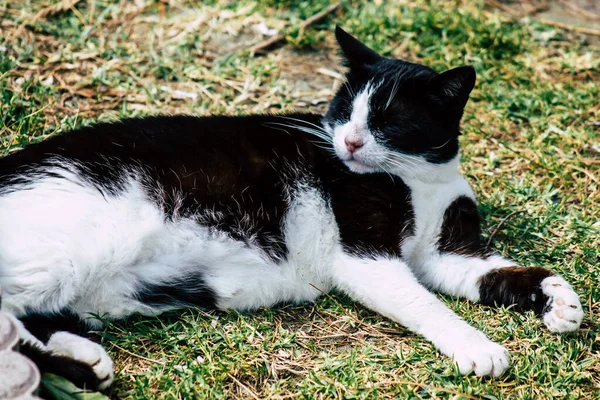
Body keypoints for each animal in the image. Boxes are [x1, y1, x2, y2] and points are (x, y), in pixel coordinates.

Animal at [0, 28, 580, 390]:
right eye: (344, 108)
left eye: (389, 121)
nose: (348, 141)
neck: (418, 178)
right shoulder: (364, 256)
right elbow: (425, 303)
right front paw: (475, 345)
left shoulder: (447, 253)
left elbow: (489, 272)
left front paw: (558, 298)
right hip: (71, 247)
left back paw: (83, 359)